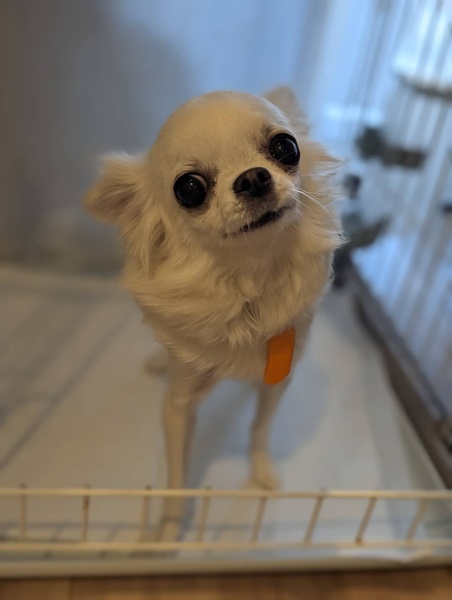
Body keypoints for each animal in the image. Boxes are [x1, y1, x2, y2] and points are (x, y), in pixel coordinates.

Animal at [84, 87, 342, 541]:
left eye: (285, 147)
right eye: (189, 188)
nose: (253, 177)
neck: (248, 283)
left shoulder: (277, 382)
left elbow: (260, 429)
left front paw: (261, 470)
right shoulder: (178, 404)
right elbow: (176, 475)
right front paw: (169, 531)